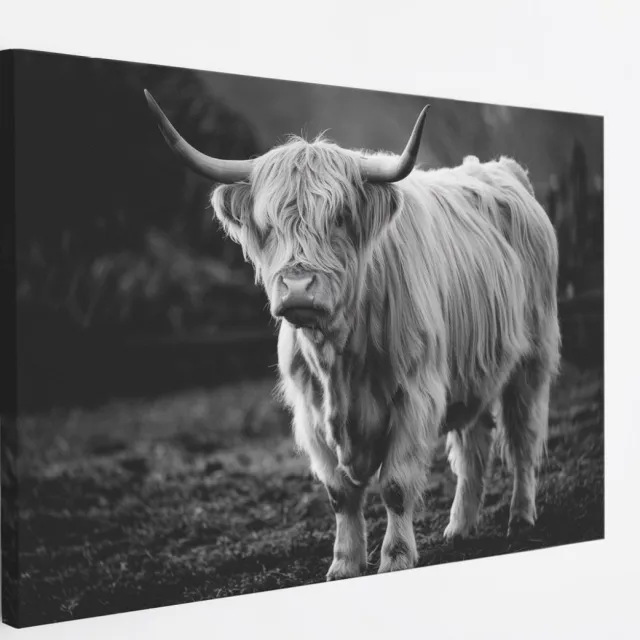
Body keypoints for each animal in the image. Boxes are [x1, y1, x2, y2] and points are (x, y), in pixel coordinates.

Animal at [144, 90, 561, 581]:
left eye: (341, 217)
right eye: (268, 225)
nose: (298, 288)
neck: (338, 361)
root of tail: (501, 169)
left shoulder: (415, 395)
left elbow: (396, 486)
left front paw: (395, 558)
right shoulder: (310, 411)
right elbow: (340, 495)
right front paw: (343, 564)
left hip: (532, 358)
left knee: (522, 438)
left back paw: (521, 517)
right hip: (471, 368)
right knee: (473, 444)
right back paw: (460, 528)